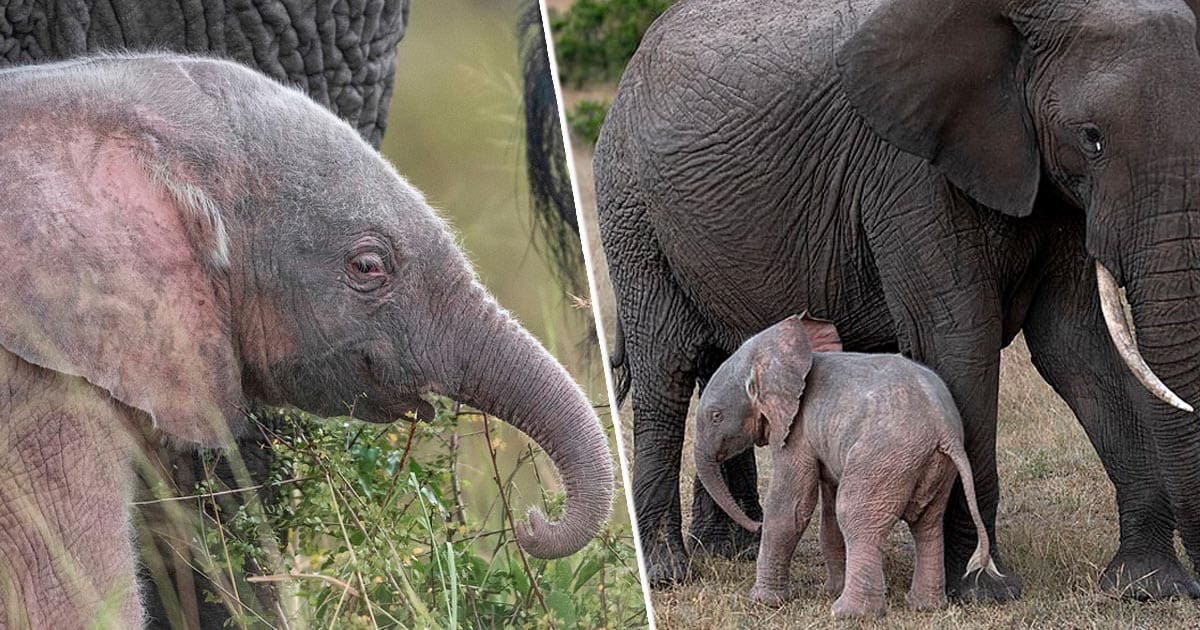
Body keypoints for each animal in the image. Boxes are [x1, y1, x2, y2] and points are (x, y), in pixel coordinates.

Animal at [693, 315, 997, 618]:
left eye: (716, 416)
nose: (754, 525)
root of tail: (943, 427)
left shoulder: (796, 432)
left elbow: (790, 507)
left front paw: (763, 601)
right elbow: (827, 514)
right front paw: (828, 590)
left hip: (884, 459)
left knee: (855, 516)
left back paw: (849, 613)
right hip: (932, 465)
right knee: (928, 524)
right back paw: (924, 606)